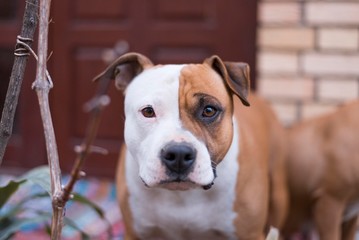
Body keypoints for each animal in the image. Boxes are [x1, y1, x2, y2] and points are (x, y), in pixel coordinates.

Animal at [94, 53, 288, 240]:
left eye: (209, 110)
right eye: (148, 111)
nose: (178, 154)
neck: (182, 195)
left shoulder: (250, 234)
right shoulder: (134, 233)